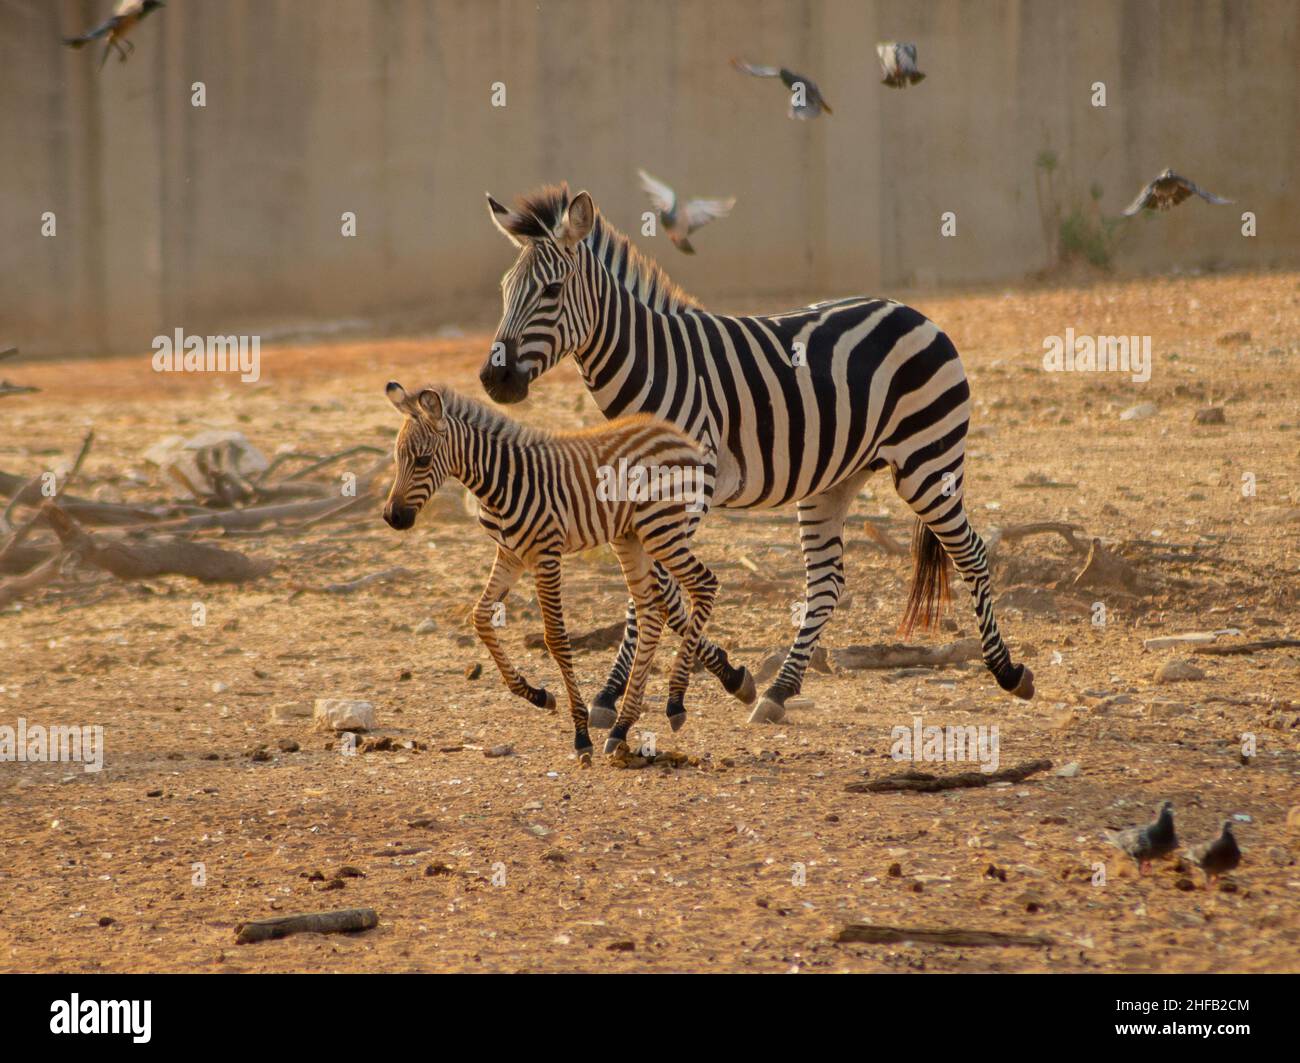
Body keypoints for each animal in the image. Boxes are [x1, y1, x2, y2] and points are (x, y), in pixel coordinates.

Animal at [382, 382, 733, 753]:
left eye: (422, 460)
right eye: (397, 459)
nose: (392, 517)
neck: (500, 481)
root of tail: (678, 436)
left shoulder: (546, 554)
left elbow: (556, 638)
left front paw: (580, 734)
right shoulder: (510, 554)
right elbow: (480, 617)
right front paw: (537, 695)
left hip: (661, 530)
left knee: (704, 584)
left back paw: (675, 701)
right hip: (631, 537)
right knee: (652, 612)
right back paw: (622, 726)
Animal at [480, 185, 1034, 722]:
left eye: (551, 291)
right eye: (504, 292)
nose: (494, 379)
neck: (651, 368)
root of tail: (912, 311)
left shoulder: (686, 491)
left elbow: (654, 591)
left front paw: (706, 680)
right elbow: (648, 589)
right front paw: (631, 690)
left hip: (927, 464)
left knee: (972, 552)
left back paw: (1007, 671)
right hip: (832, 479)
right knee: (826, 581)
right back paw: (780, 690)